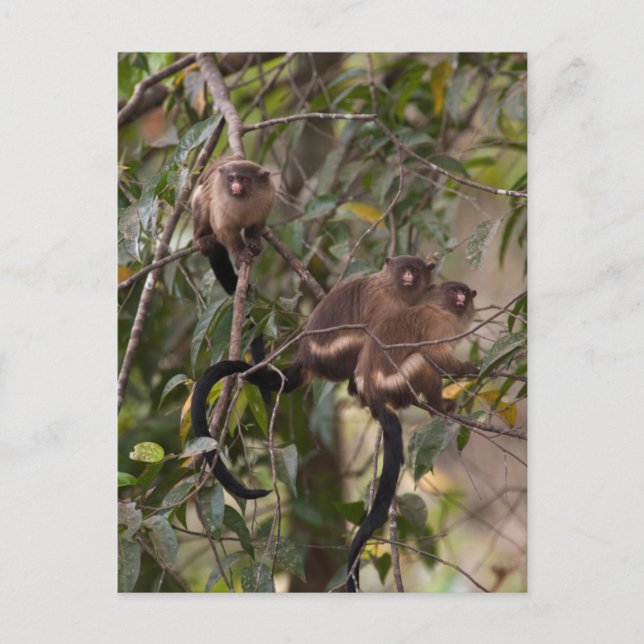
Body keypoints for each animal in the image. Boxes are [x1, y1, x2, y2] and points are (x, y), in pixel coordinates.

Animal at [190, 256, 437, 500]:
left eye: (415, 270)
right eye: (403, 269)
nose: (409, 276)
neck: (393, 291)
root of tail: (307, 358)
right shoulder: (383, 306)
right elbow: (377, 337)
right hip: (340, 352)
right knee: (362, 340)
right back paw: (356, 386)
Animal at [346, 281, 477, 592]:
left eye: (464, 293)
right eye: (454, 290)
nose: (460, 297)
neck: (442, 310)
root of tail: (373, 391)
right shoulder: (436, 325)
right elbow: (436, 356)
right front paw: (469, 368)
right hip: (398, 383)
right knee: (422, 359)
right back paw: (437, 407)